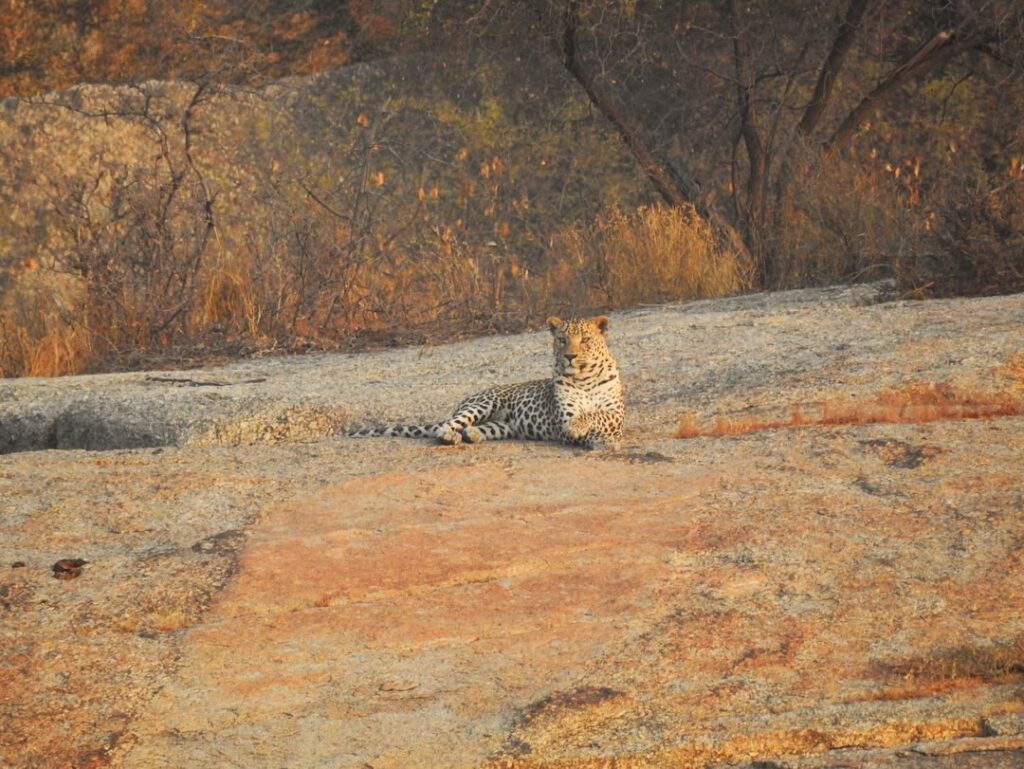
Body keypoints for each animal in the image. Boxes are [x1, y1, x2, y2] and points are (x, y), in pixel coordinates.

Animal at [348, 315, 624, 449]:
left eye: (585, 340)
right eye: (562, 340)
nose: (570, 356)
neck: (584, 378)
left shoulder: (616, 415)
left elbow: (598, 416)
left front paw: (602, 439)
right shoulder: (564, 417)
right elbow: (583, 419)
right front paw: (587, 434)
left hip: (504, 426)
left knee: (478, 428)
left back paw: (472, 434)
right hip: (483, 404)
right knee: (445, 426)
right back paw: (452, 436)